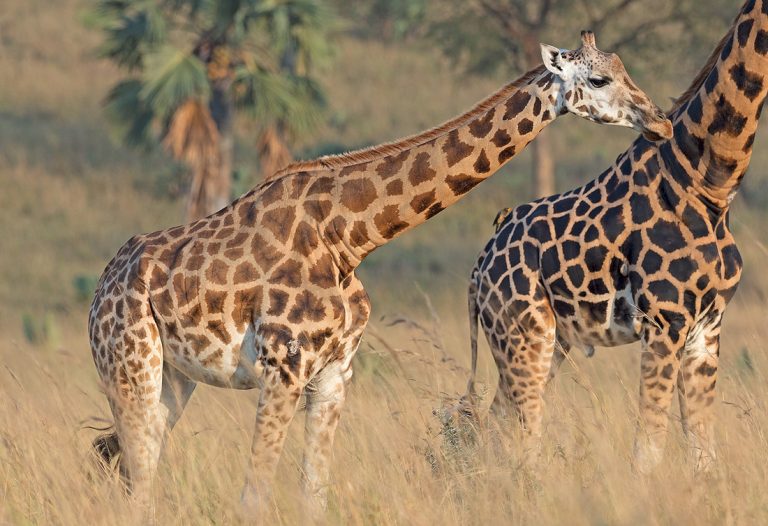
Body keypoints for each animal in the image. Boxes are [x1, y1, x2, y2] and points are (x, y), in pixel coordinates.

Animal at [87, 31, 671, 512]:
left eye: (623, 68)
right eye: (598, 78)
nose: (659, 119)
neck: (350, 237)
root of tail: (100, 291)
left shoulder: (333, 375)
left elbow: (314, 496)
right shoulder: (284, 367)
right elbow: (254, 496)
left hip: (173, 378)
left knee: (135, 469)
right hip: (130, 365)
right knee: (136, 477)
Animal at [461, 0, 768, 474]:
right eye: (599, 80)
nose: (658, 121)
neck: (711, 185)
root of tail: (479, 268)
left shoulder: (707, 326)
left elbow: (703, 454)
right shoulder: (664, 323)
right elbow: (649, 448)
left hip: (547, 342)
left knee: (495, 424)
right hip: (524, 337)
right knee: (520, 431)